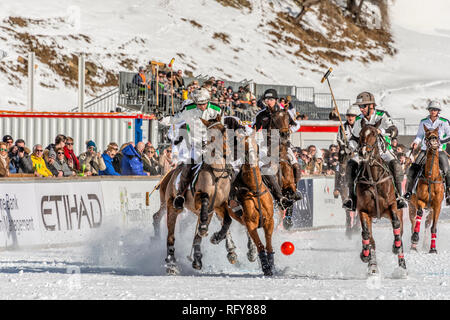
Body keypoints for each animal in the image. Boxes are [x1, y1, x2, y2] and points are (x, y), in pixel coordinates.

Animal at [156, 115, 234, 276]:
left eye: (224, 130)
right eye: (210, 136)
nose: (227, 152)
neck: (216, 173)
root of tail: (170, 175)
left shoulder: (220, 205)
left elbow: (228, 220)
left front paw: (216, 237)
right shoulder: (201, 197)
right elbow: (204, 201)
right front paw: (206, 229)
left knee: (197, 237)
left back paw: (197, 259)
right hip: (172, 207)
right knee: (170, 236)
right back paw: (171, 264)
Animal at [356, 119, 408, 276]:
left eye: (374, 133)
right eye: (360, 134)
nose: (363, 152)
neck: (374, 178)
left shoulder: (392, 206)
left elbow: (396, 225)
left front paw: (396, 247)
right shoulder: (363, 210)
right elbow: (366, 234)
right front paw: (365, 255)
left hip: (398, 209)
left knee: (400, 232)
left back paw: (401, 266)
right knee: (370, 239)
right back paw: (372, 265)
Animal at [408, 126, 442, 254]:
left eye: (437, 135)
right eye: (426, 135)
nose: (433, 141)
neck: (431, 177)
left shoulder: (437, 206)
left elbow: (433, 227)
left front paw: (433, 248)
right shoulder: (420, 201)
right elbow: (419, 215)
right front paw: (415, 238)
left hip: (430, 210)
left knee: (427, 224)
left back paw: (424, 244)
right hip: (411, 206)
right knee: (413, 222)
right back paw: (413, 245)